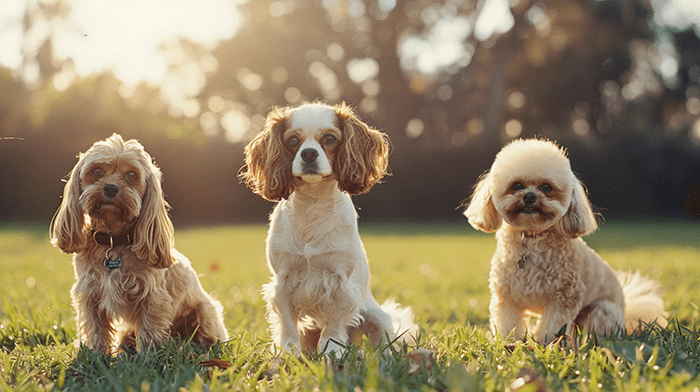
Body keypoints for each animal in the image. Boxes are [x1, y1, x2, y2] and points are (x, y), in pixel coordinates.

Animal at [50, 133, 228, 350]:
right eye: (97, 171)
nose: (110, 188)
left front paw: (147, 355)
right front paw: (96, 352)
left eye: (131, 176)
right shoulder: (90, 291)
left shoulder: (152, 295)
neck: (113, 241)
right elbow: (96, 327)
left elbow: (149, 328)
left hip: (204, 312)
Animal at [241, 102, 416, 356]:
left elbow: (333, 326)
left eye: (330, 138)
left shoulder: (339, 282)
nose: (309, 153)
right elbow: (288, 325)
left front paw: (332, 351)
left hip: (377, 317)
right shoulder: (283, 281)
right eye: (293, 140)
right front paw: (288, 353)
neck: (313, 203)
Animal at [464, 138, 668, 344]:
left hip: (601, 312)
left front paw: (546, 345)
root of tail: (626, 311)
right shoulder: (506, 299)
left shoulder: (562, 300)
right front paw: (508, 343)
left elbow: (552, 328)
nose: (530, 196)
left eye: (546, 187)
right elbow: (509, 326)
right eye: (517, 185)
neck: (531, 237)